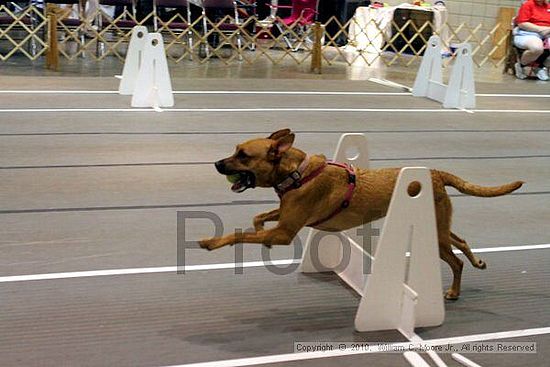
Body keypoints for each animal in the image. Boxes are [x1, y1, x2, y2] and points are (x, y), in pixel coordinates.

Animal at [203, 129, 528, 300]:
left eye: (243, 155)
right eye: (235, 150)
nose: (217, 164)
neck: (296, 174)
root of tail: (436, 173)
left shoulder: (286, 231)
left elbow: (239, 235)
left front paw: (211, 242)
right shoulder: (284, 218)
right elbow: (258, 220)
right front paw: (260, 234)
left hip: (434, 234)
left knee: (456, 261)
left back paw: (454, 291)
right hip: (441, 225)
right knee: (460, 241)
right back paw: (478, 262)